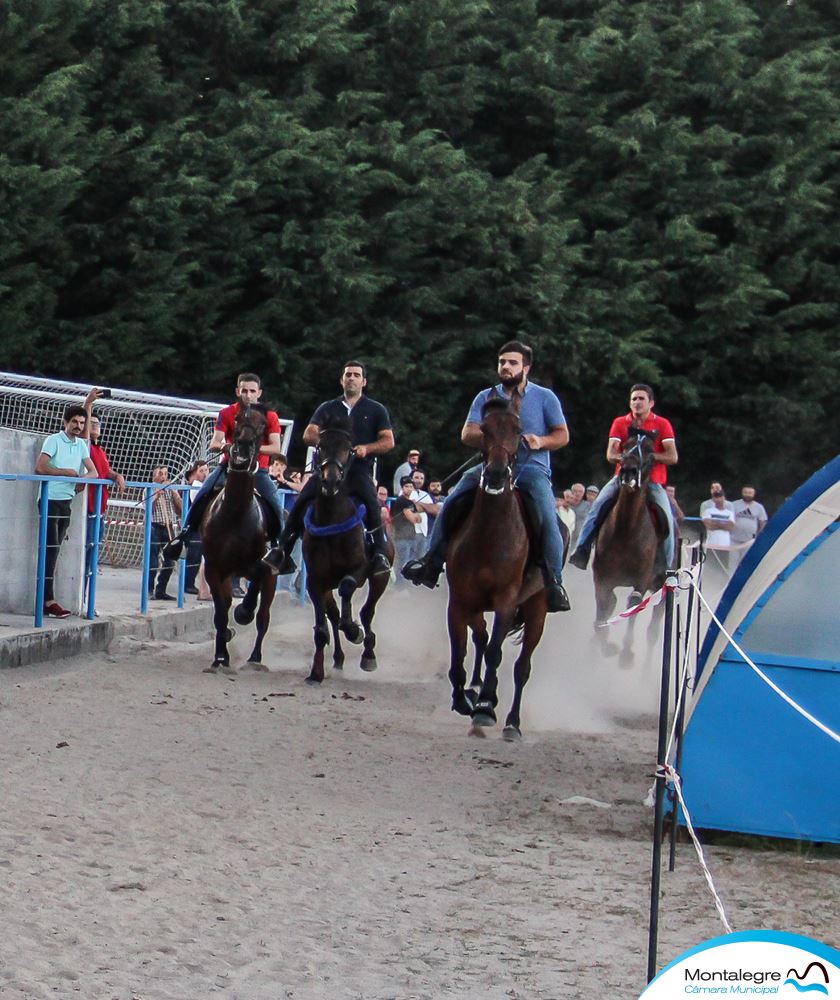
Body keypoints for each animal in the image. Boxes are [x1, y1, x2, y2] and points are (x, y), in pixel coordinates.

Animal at [201, 404, 278, 672]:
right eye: (236, 418)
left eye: (263, 424)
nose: (242, 448)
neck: (235, 512)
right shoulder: (214, 569)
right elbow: (220, 613)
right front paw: (220, 657)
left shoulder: (261, 566)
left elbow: (254, 591)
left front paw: (243, 611)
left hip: (271, 580)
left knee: (264, 617)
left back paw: (255, 658)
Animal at [302, 410, 394, 684]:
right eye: (321, 446)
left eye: (348, 449)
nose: (330, 480)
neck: (333, 520)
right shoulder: (315, 580)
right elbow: (321, 628)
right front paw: (316, 672)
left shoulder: (359, 570)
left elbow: (347, 587)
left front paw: (354, 630)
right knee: (333, 615)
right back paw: (339, 658)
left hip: (380, 577)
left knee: (367, 611)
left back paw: (368, 653)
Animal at [442, 394, 556, 740]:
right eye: (484, 429)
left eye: (518, 430)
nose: (494, 473)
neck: (491, 534)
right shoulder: (460, 601)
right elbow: (459, 653)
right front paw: (463, 699)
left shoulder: (506, 601)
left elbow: (496, 653)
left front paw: (484, 708)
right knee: (480, 638)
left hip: (536, 611)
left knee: (521, 668)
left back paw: (511, 722)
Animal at [592, 426, 664, 660]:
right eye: (625, 446)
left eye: (650, 452)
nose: (628, 471)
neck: (626, 532)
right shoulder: (602, 579)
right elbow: (603, 610)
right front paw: (606, 645)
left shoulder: (642, 579)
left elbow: (633, 605)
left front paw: (625, 651)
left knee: (653, 629)